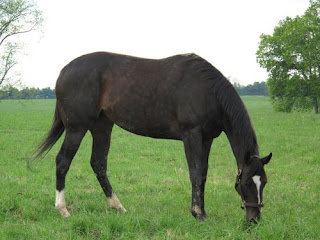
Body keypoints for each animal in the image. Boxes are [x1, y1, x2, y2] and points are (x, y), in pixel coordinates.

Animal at [37, 51, 272, 222]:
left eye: (264, 182)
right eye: (247, 184)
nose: (254, 219)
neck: (208, 91)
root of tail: (64, 71)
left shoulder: (207, 139)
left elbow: (203, 175)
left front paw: (203, 212)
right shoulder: (192, 135)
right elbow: (195, 174)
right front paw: (197, 214)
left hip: (102, 127)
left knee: (98, 164)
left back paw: (118, 207)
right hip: (76, 128)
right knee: (63, 162)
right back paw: (63, 209)